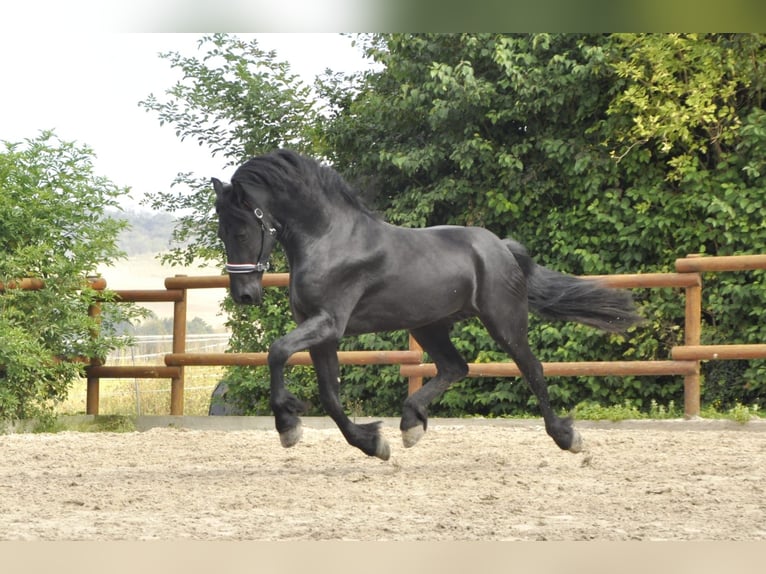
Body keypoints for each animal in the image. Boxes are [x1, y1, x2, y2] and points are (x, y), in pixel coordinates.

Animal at [212, 151, 640, 462]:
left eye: (242, 230)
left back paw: (566, 437)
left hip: (503, 320)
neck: (329, 239)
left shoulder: (329, 324)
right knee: (455, 367)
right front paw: (371, 443)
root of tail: (501, 246)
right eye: (222, 232)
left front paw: (288, 425)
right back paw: (410, 424)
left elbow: (277, 351)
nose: (245, 295)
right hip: (428, 325)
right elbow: (330, 395)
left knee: (531, 368)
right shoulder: (322, 334)